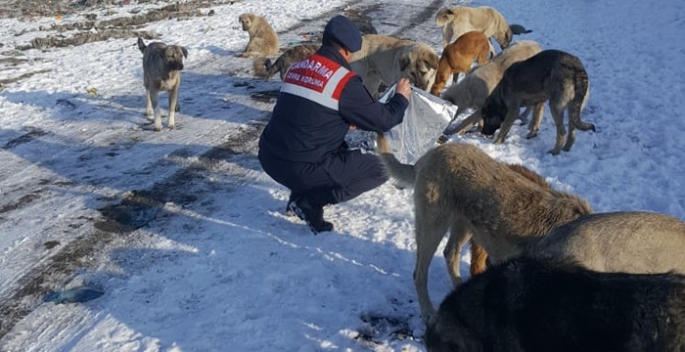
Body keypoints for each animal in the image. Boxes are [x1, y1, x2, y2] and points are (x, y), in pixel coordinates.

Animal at [374, 133, 592, 320]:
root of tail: (426, 157)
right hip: (433, 228)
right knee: (420, 274)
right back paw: (429, 311)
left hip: (465, 227)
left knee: (450, 254)